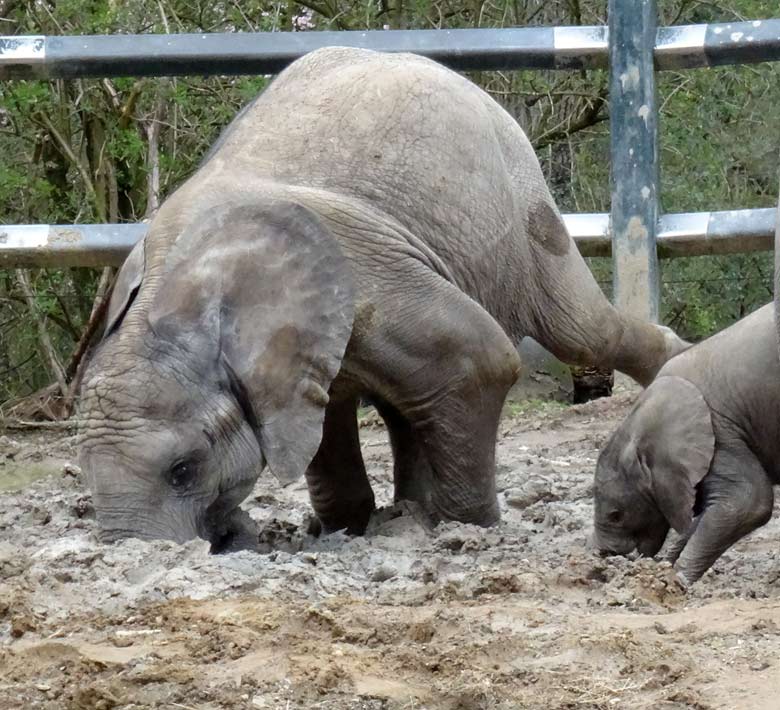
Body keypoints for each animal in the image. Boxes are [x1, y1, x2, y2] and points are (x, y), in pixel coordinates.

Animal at [80, 47, 688, 552]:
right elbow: (324, 423)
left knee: (580, 330)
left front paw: (462, 530)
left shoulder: (366, 270)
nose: (144, 556)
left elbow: (482, 361)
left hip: (525, 209)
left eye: (184, 468)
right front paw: (339, 529)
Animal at [596, 304, 776, 588]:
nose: (605, 559)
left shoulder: (718, 431)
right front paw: (664, 570)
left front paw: (678, 581)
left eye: (616, 515)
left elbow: (748, 501)